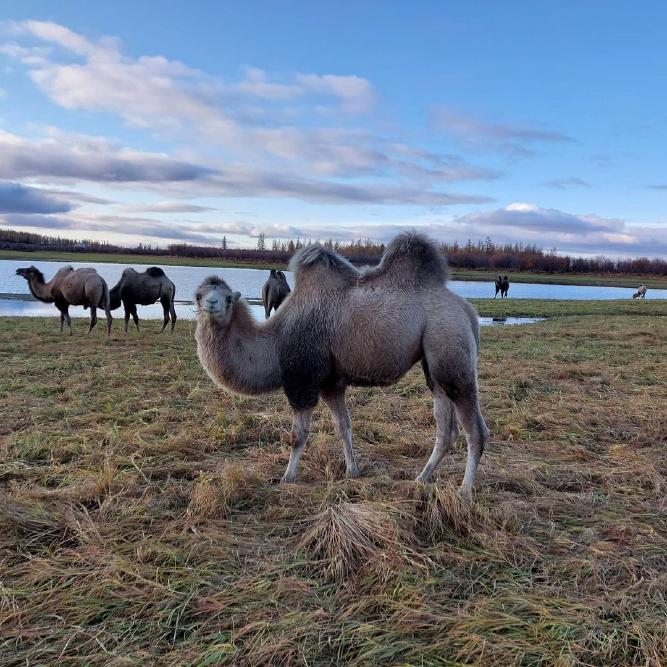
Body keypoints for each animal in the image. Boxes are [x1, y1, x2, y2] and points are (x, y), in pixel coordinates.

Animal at [193, 232, 490, 498]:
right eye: (198, 294)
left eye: (228, 297)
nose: (211, 304)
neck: (275, 343)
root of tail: (468, 311)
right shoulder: (330, 383)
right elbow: (343, 427)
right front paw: (352, 471)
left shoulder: (303, 380)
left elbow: (298, 435)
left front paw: (287, 477)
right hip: (435, 363)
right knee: (445, 427)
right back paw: (421, 478)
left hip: (450, 345)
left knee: (475, 428)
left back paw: (464, 491)